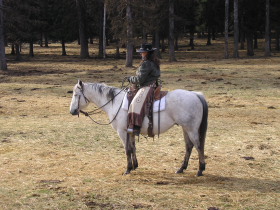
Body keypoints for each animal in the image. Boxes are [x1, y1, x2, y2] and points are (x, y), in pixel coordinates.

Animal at [69, 79, 207, 175]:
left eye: (76, 94)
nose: (72, 111)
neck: (115, 102)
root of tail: (196, 95)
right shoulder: (131, 131)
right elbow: (133, 147)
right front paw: (135, 165)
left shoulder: (122, 131)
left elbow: (127, 149)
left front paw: (128, 169)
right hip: (185, 128)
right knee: (189, 146)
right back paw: (181, 168)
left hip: (191, 129)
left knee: (198, 146)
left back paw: (200, 170)